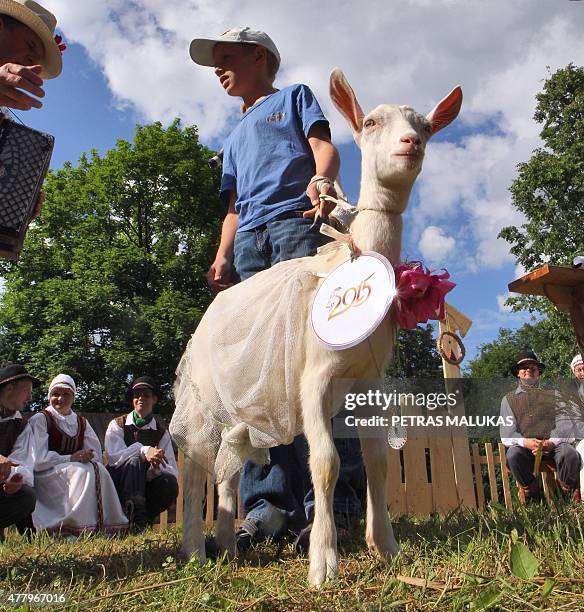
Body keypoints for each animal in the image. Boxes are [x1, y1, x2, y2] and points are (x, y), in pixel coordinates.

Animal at [171, 70, 464, 588]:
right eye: (370, 122)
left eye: (427, 126)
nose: (410, 144)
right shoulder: (314, 379)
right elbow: (325, 462)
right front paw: (323, 563)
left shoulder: (369, 383)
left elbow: (377, 462)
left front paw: (387, 548)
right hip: (203, 397)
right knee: (194, 466)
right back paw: (195, 553)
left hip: (243, 403)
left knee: (228, 468)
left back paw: (227, 545)